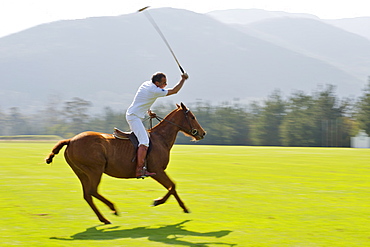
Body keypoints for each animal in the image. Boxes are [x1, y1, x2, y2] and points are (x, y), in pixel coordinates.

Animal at [45, 102, 205, 224]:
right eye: (192, 117)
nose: (203, 133)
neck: (161, 139)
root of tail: (70, 140)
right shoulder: (157, 171)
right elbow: (172, 186)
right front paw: (160, 202)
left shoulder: (158, 172)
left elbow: (172, 186)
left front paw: (182, 207)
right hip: (94, 170)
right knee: (92, 191)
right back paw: (113, 208)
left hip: (81, 172)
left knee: (87, 195)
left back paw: (104, 219)